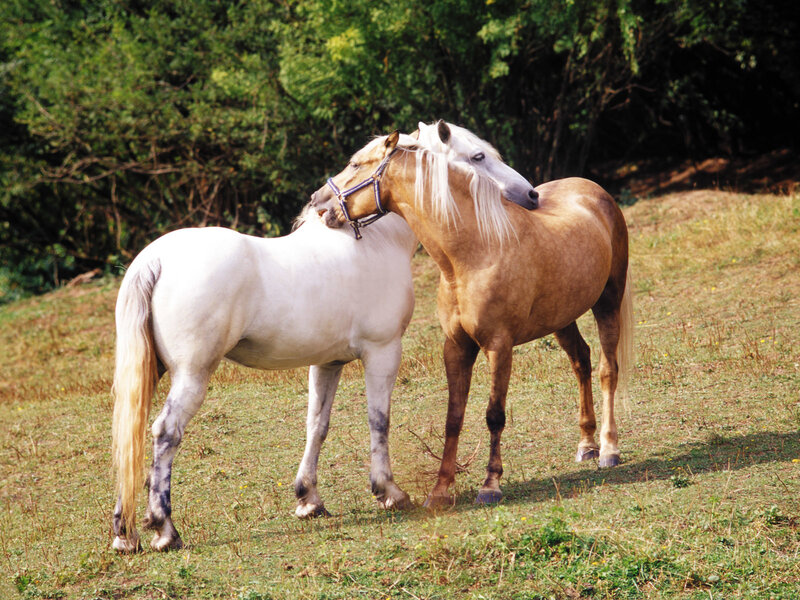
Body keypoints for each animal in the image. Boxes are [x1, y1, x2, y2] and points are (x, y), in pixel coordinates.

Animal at [111, 131, 538, 552]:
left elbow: (317, 424)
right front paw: (389, 492)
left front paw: (308, 499)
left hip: (152, 371)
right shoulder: (383, 352)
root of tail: (157, 258)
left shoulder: (327, 362)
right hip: (192, 374)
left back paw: (125, 533)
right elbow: (379, 419)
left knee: (131, 437)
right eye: (478, 156)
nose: (531, 195)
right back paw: (164, 529)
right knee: (165, 433)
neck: (375, 243)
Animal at [310, 120, 633, 507]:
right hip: (561, 317)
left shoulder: (499, 346)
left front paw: (490, 485)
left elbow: (494, 415)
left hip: (608, 302)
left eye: (357, 164)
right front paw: (440, 490)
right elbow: (454, 417)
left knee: (607, 370)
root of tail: (592, 189)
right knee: (581, 361)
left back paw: (608, 449)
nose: (318, 202)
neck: (474, 251)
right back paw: (586, 445)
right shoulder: (456, 347)